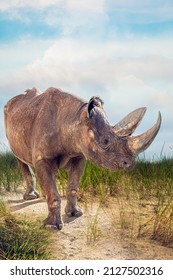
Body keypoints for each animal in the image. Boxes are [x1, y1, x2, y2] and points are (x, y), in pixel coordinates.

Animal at [3, 87, 161, 230]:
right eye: (105, 141)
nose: (129, 163)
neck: (74, 117)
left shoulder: (79, 155)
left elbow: (73, 186)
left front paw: (75, 213)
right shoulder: (43, 158)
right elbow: (53, 193)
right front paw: (51, 226)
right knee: (19, 157)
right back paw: (31, 197)